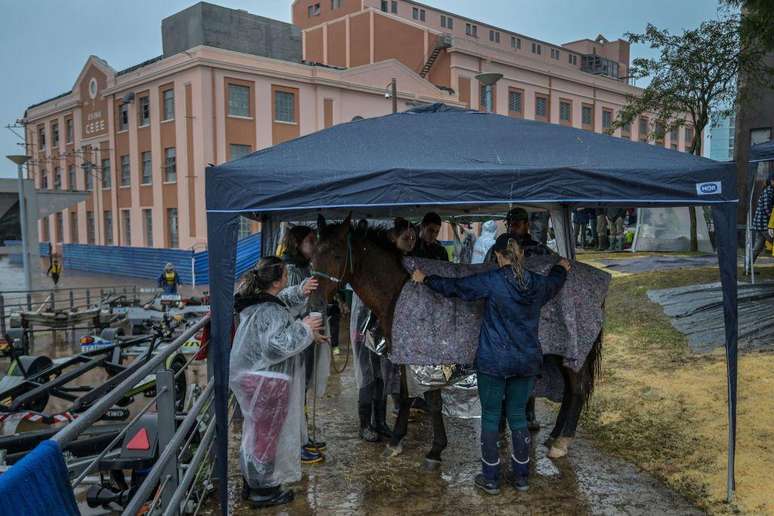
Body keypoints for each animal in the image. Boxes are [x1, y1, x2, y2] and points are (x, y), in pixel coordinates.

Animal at [312, 216, 604, 466]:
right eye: (313, 254)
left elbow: (432, 402)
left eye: (336, 254)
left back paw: (561, 443)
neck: (400, 290)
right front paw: (396, 442)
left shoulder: (428, 358)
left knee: (577, 390)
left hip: (570, 353)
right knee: (569, 392)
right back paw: (553, 437)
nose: (315, 299)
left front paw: (434, 450)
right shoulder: (406, 356)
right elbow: (406, 396)